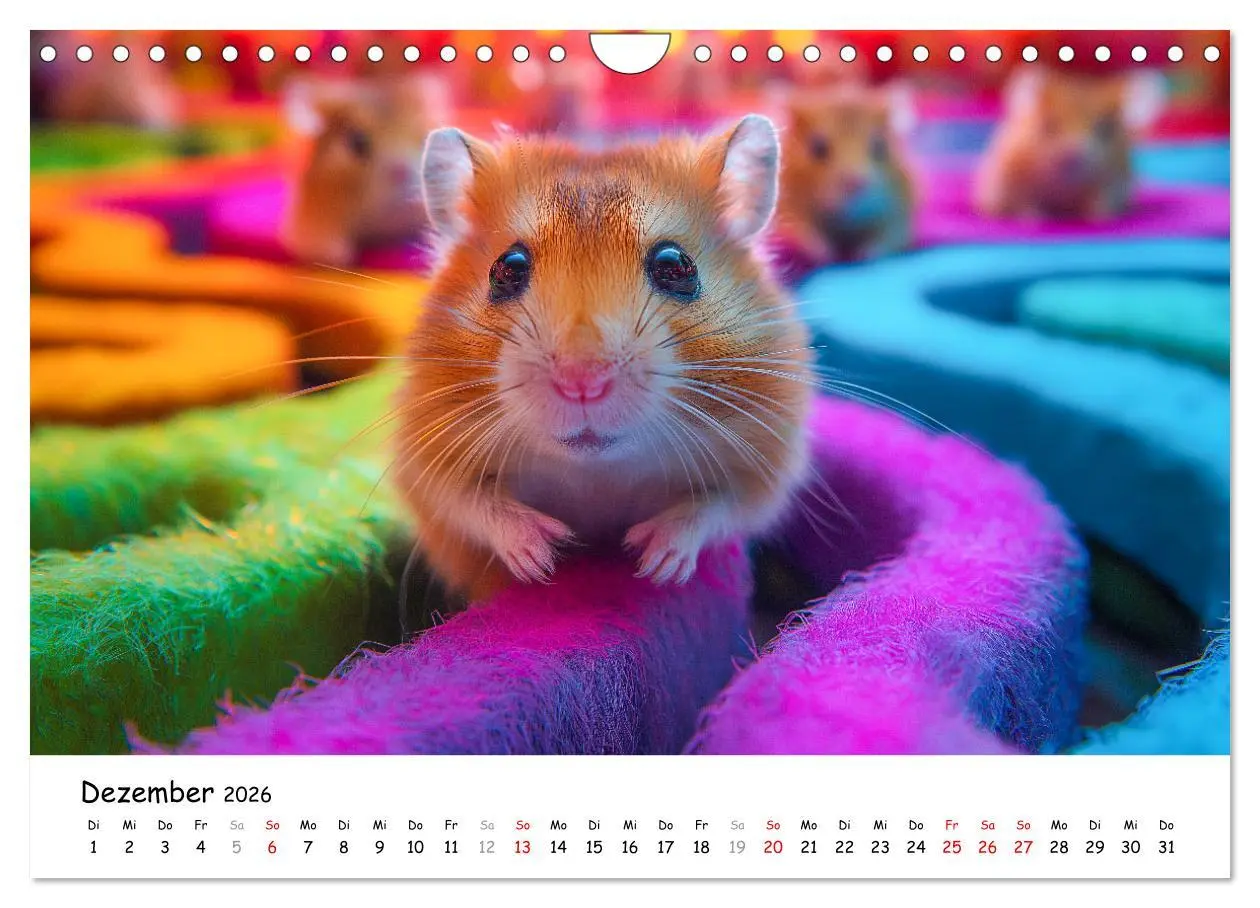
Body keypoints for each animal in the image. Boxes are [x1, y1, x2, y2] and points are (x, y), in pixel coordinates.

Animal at [391, 115, 815, 601]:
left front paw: (652, 559)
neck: (597, 470)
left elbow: (716, 506)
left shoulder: (768, 464)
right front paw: (546, 554)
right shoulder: (425, 462)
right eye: (506, 268)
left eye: (677, 265)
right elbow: (471, 504)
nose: (582, 382)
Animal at [776, 83, 916, 263]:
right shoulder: (789, 211)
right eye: (818, 148)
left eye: (879, 146)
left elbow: (886, 238)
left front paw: (862, 255)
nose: (854, 183)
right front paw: (827, 254)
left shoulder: (899, 212)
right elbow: (804, 232)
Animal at [975, 68, 1165, 220]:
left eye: (1105, 128)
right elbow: (1023, 203)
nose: (1072, 156)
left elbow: (1100, 203)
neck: (1064, 186)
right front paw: (1034, 218)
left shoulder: (1114, 183)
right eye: (1048, 125)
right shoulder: (1010, 179)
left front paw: (1099, 218)